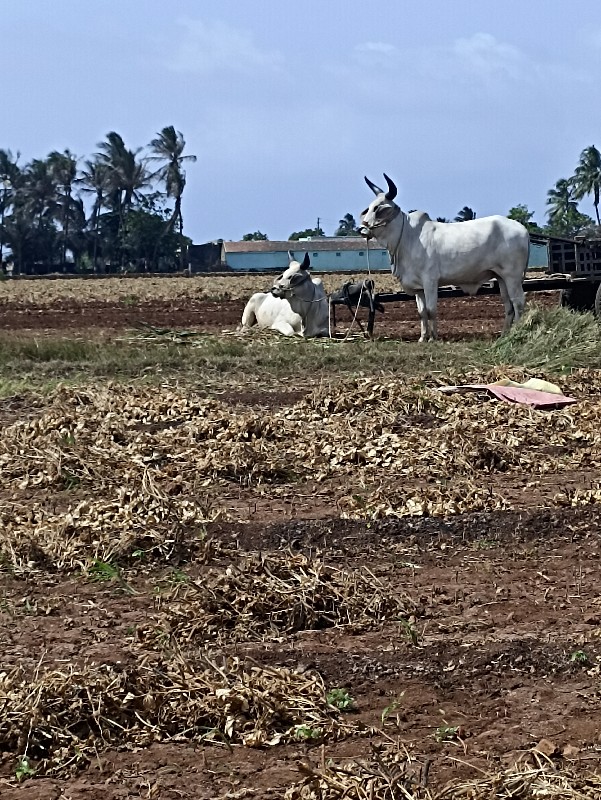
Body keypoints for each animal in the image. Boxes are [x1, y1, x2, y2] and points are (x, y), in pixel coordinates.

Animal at [358, 173, 528, 340]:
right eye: (369, 208)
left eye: (378, 209)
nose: (362, 229)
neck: (408, 236)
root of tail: (523, 229)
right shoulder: (419, 288)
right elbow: (422, 313)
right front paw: (423, 337)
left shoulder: (430, 281)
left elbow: (431, 310)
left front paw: (433, 338)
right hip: (501, 277)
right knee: (508, 305)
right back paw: (505, 335)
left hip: (513, 276)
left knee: (518, 303)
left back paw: (517, 334)